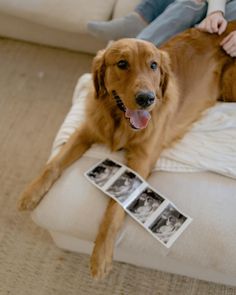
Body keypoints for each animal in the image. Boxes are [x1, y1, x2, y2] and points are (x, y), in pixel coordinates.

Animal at [18, 20, 236, 280]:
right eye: (122, 64)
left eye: (153, 65)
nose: (147, 98)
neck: (119, 120)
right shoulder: (87, 129)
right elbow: (53, 164)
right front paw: (30, 193)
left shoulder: (141, 161)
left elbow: (114, 209)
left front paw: (101, 255)